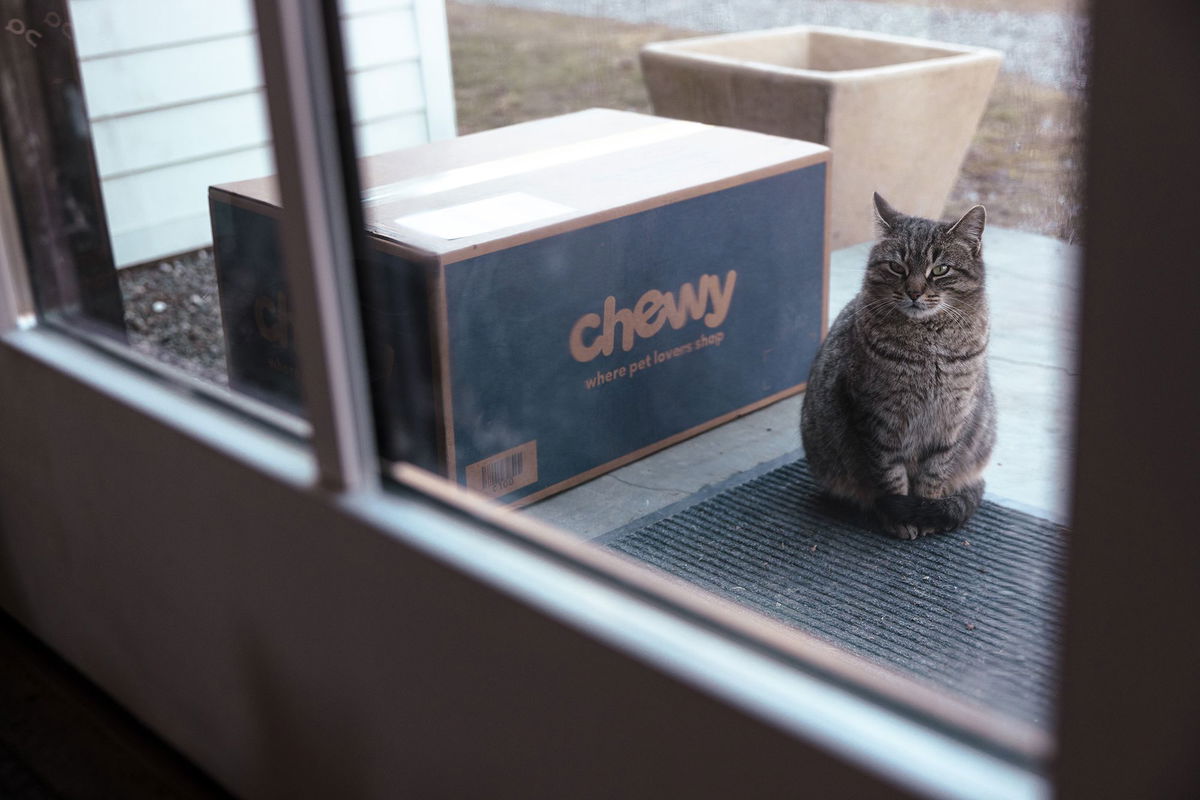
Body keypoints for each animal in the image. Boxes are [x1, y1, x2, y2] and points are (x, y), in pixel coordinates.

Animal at [801, 193, 998, 537]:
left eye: (940, 269)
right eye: (896, 267)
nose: (914, 292)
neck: (930, 346)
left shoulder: (952, 419)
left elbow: (935, 470)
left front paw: (926, 510)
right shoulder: (877, 417)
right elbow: (890, 475)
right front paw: (900, 518)